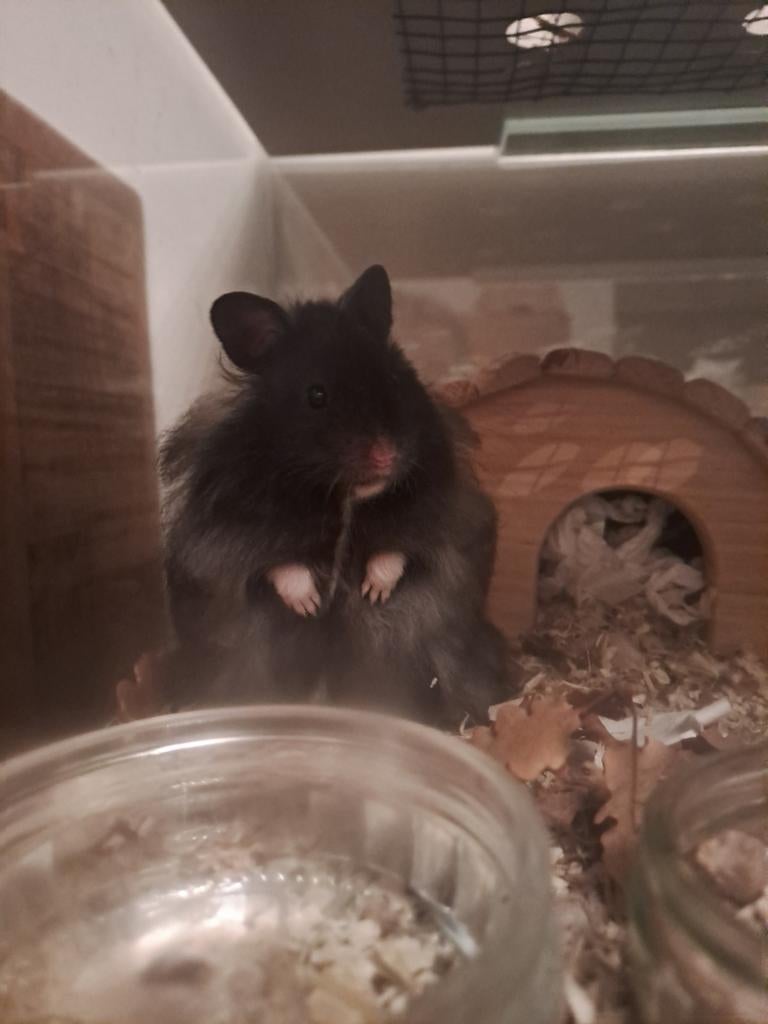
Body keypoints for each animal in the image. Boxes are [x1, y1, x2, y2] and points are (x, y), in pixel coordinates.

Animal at [158, 265, 511, 726]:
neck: (342, 494)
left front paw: (372, 592)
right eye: (317, 395)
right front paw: (310, 605)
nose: (387, 454)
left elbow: (396, 552)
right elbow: (280, 565)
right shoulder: (222, 536)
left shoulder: (441, 520)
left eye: (395, 377)